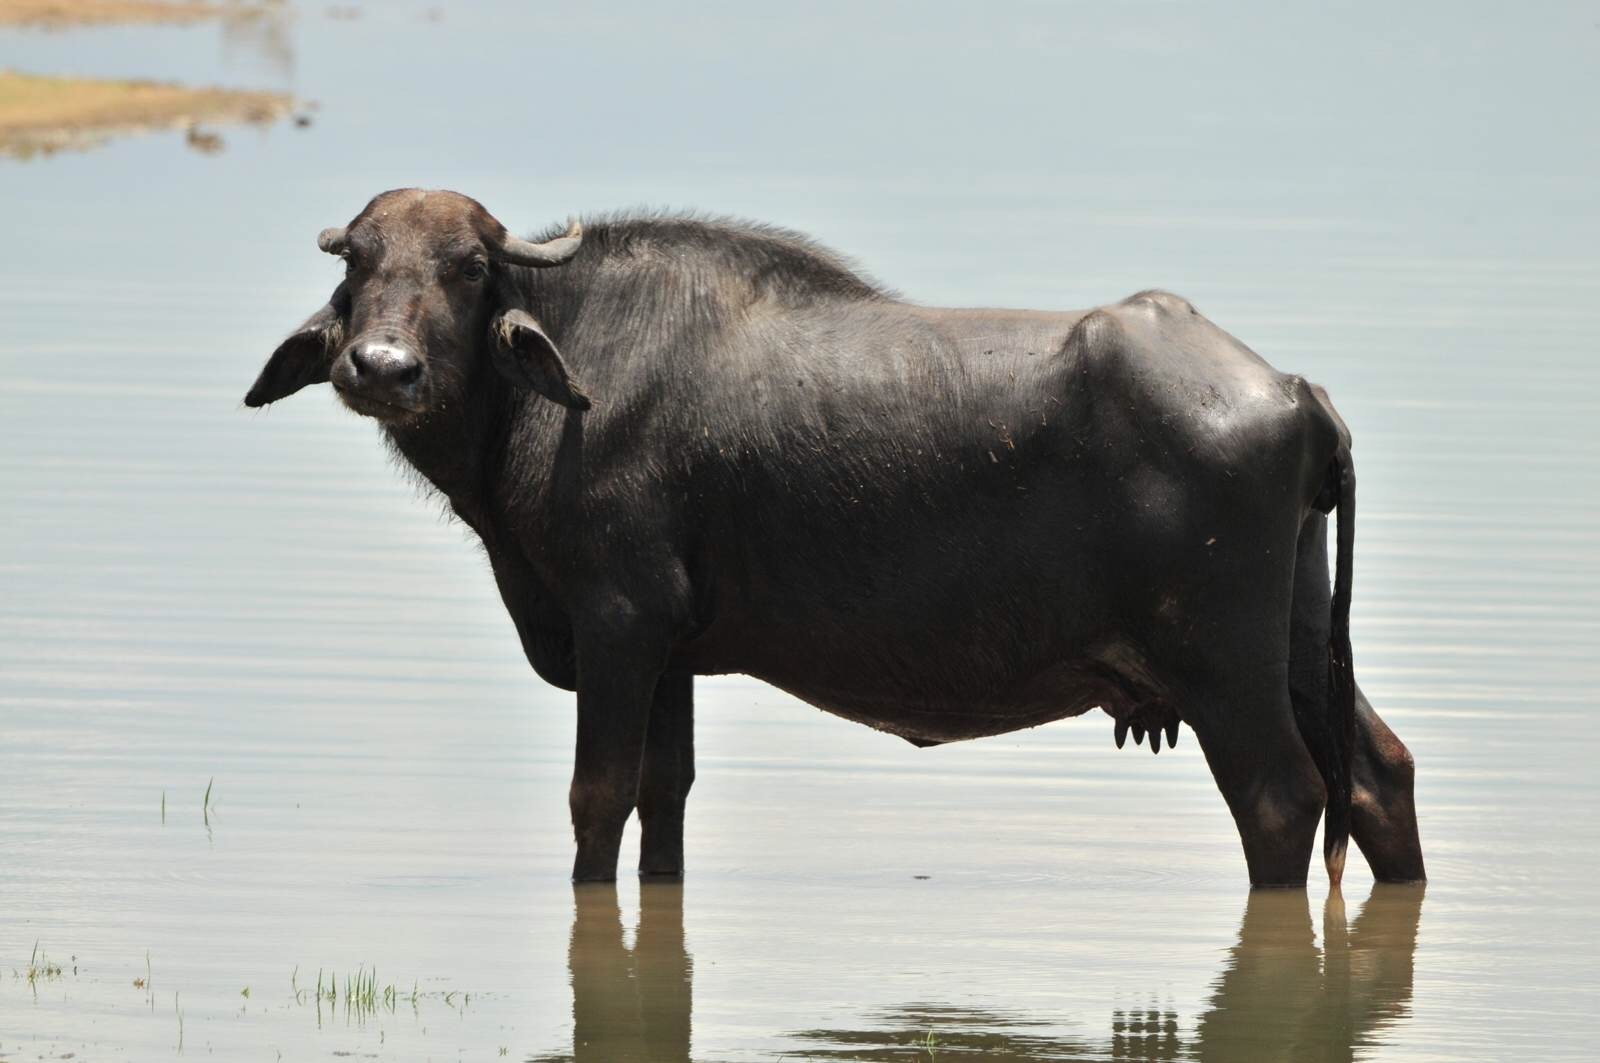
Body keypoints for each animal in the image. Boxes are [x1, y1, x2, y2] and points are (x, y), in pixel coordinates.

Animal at [246, 188, 1427, 890]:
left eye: (465, 268)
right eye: (359, 262)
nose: (381, 367)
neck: (569, 380)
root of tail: (1291, 389)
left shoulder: (618, 625)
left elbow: (597, 798)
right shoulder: (672, 654)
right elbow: (663, 797)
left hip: (1221, 664)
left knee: (1282, 801)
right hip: (1299, 641)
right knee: (1378, 772)